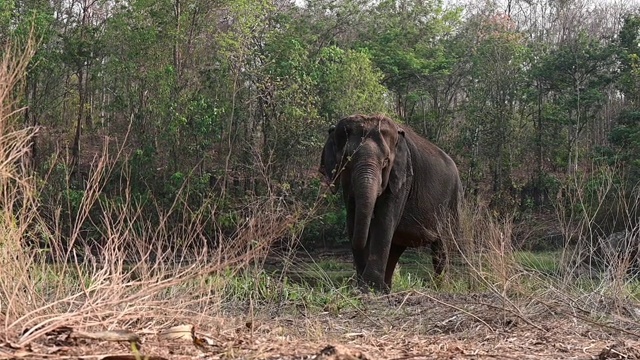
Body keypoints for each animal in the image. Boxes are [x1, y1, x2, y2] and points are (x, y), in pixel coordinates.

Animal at [318, 114, 460, 292]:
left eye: (386, 161)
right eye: (346, 160)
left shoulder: (402, 177)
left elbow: (384, 221)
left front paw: (369, 287)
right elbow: (352, 218)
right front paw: (365, 287)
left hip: (451, 202)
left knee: (441, 245)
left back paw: (441, 288)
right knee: (395, 248)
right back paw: (387, 288)